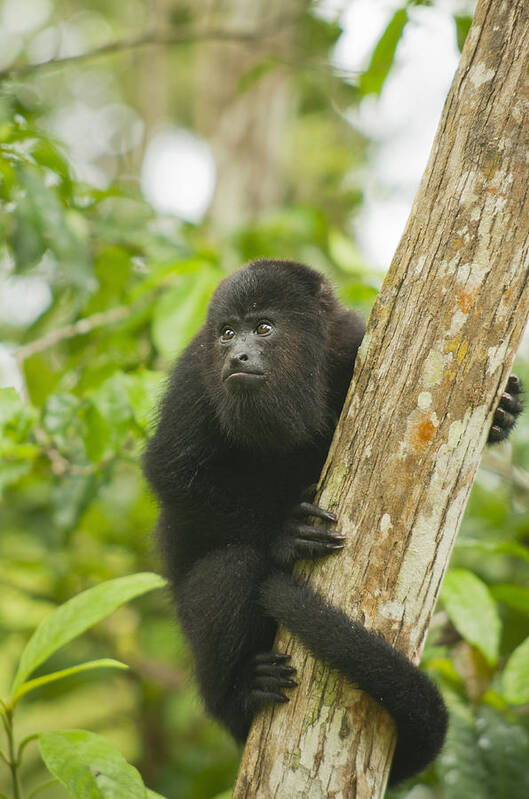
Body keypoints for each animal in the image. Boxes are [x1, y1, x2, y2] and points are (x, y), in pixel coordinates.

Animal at [142, 260, 520, 784]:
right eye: (226, 332)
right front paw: (283, 534)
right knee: (232, 568)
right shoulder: (194, 377)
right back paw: (237, 697)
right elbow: (171, 471)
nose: (237, 355)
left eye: (264, 328)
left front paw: (504, 411)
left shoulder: (353, 345)